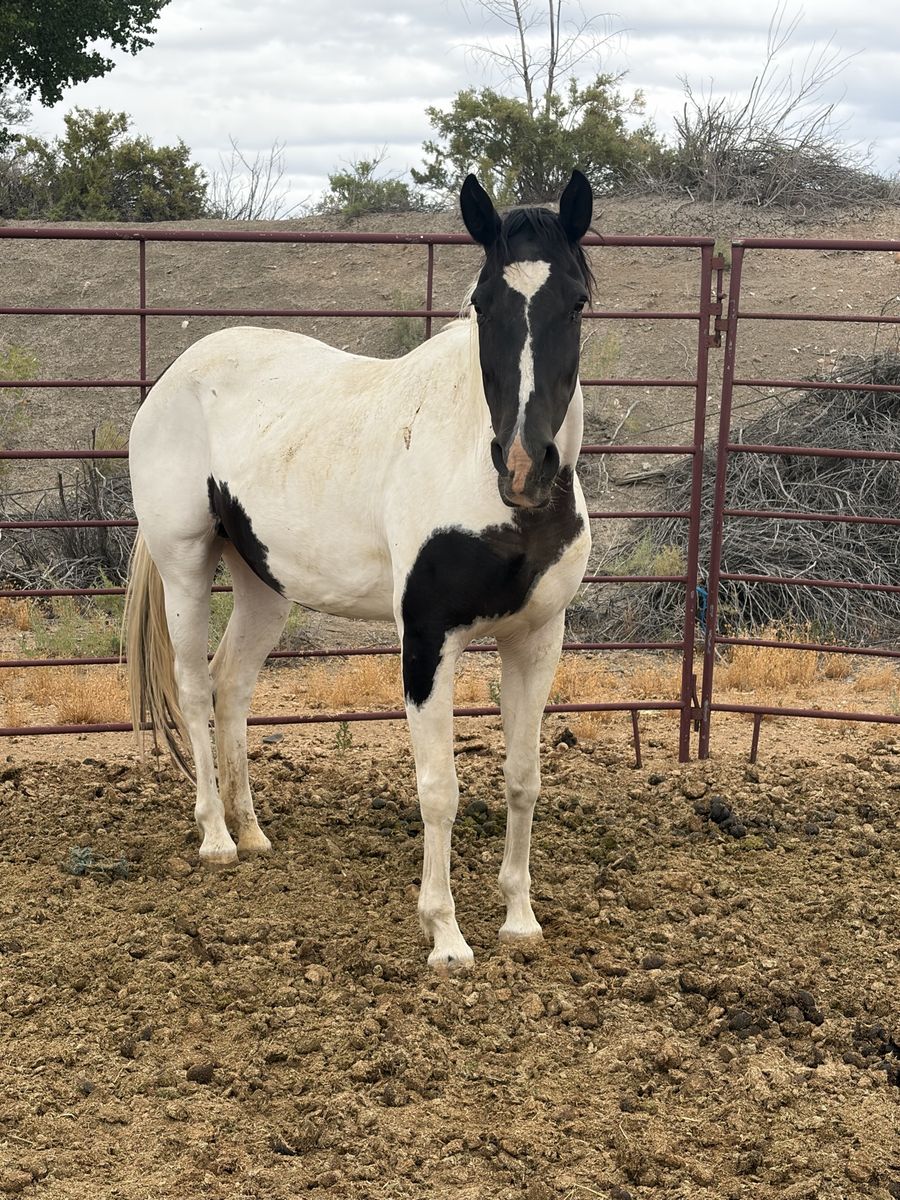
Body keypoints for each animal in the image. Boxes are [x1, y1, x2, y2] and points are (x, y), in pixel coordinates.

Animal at [124, 170, 594, 969]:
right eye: (483, 303)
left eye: (579, 300)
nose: (524, 466)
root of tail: (177, 376)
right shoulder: (429, 639)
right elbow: (439, 789)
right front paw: (445, 937)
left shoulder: (537, 640)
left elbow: (523, 779)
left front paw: (520, 920)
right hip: (185, 565)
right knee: (192, 687)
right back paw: (216, 838)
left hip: (262, 586)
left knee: (232, 684)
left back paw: (253, 832)